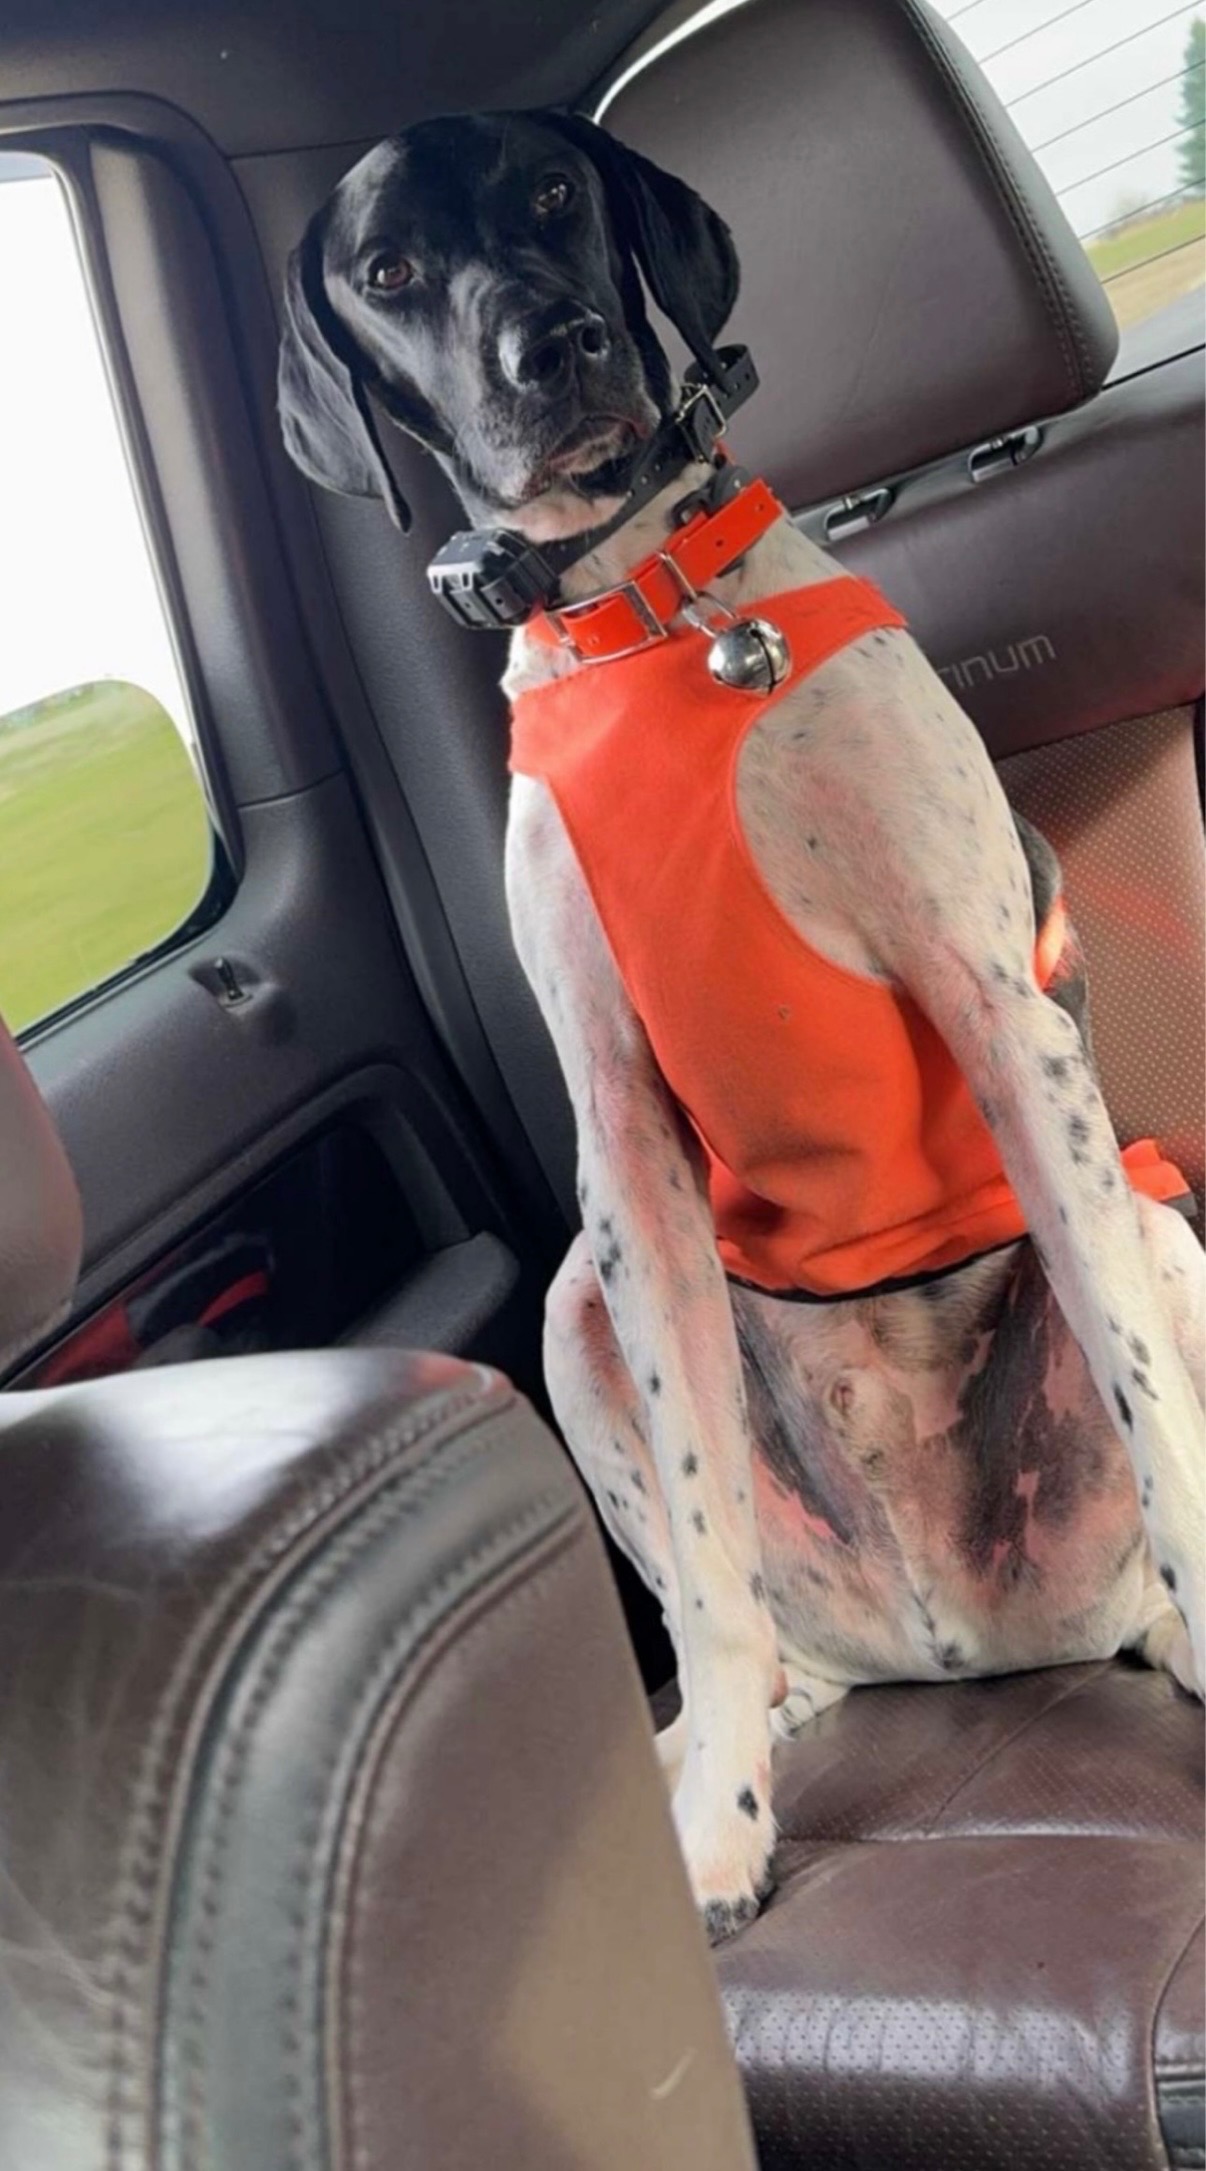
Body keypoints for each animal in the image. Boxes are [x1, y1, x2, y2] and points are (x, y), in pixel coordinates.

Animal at [278, 109, 1205, 1942]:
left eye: (554, 193)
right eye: (387, 271)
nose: (553, 347)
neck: (650, 613)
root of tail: (958, 1637)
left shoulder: (1004, 1025)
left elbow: (1146, 1395)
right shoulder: (625, 1153)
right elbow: (703, 1556)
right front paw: (717, 1825)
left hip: (1154, 1217)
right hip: (572, 1309)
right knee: (757, 1637)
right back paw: (722, 1739)